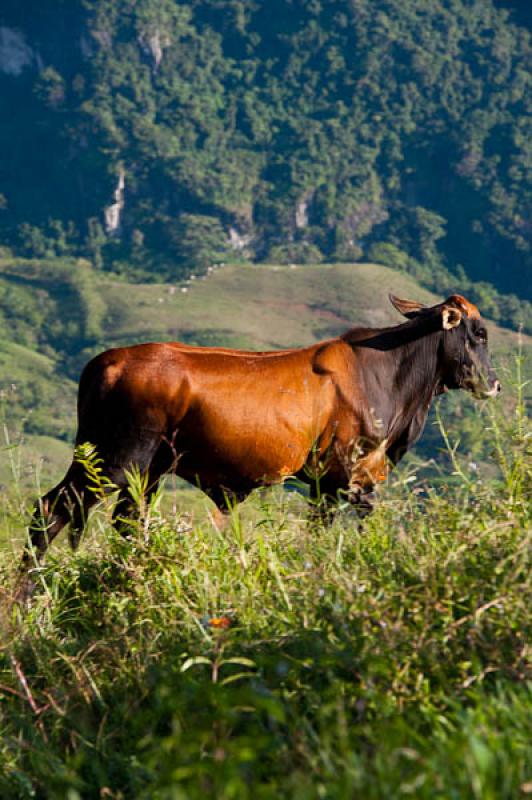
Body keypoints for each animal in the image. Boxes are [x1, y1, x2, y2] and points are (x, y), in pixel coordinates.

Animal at [21, 290, 498, 564]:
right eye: (479, 333)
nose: (494, 383)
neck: (384, 373)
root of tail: (108, 361)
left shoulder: (329, 482)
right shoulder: (345, 475)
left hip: (146, 471)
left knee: (126, 522)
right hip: (114, 461)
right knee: (50, 509)